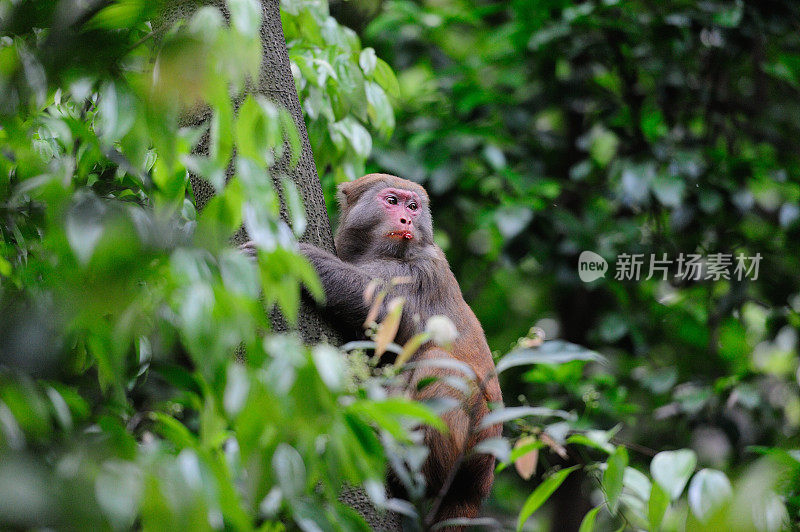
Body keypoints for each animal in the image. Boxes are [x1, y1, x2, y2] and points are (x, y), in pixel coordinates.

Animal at [296, 174, 504, 528]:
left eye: (413, 206)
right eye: (392, 202)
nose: (406, 220)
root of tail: (481, 482)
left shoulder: (414, 273)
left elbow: (375, 307)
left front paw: (303, 259)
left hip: (473, 442)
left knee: (439, 364)